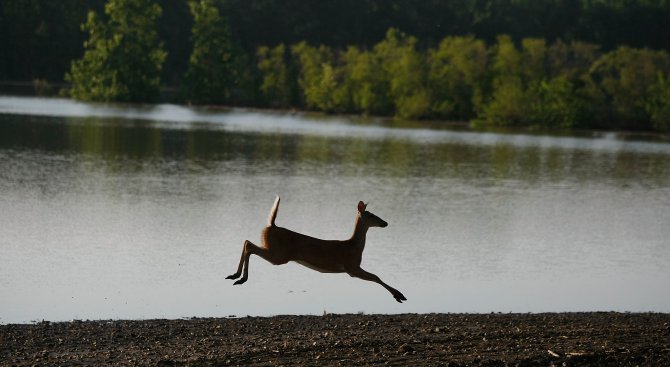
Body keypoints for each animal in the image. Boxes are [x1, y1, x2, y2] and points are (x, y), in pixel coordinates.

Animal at [226, 197, 406, 304]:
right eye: (371, 215)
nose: (385, 223)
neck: (353, 247)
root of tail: (271, 225)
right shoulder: (351, 268)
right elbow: (376, 276)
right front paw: (399, 295)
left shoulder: (352, 268)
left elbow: (376, 276)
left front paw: (398, 295)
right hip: (278, 255)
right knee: (249, 245)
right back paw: (241, 278)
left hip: (275, 252)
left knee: (246, 241)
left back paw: (234, 275)